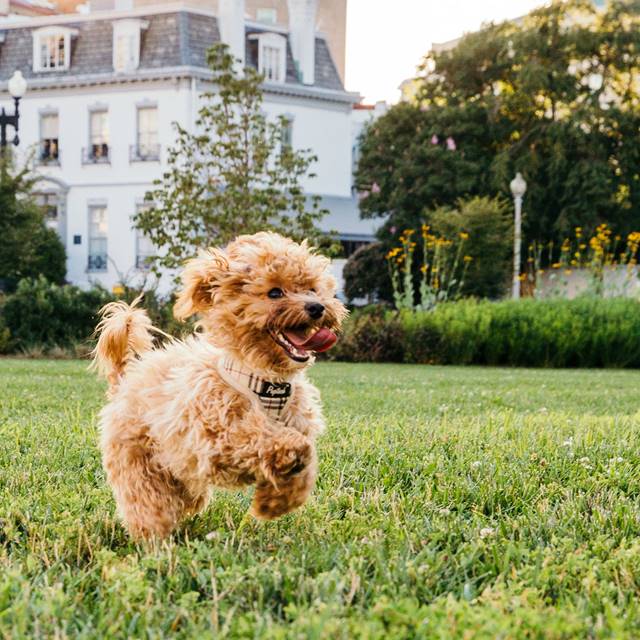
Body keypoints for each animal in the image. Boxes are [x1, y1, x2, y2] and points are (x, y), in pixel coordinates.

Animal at [92, 232, 348, 536]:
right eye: (275, 292)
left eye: (312, 288)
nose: (317, 307)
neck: (265, 382)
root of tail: (126, 378)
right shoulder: (215, 436)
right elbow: (263, 437)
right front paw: (287, 452)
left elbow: (304, 468)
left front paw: (274, 503)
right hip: (139, 464)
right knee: (148, 505)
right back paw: (155, 538)